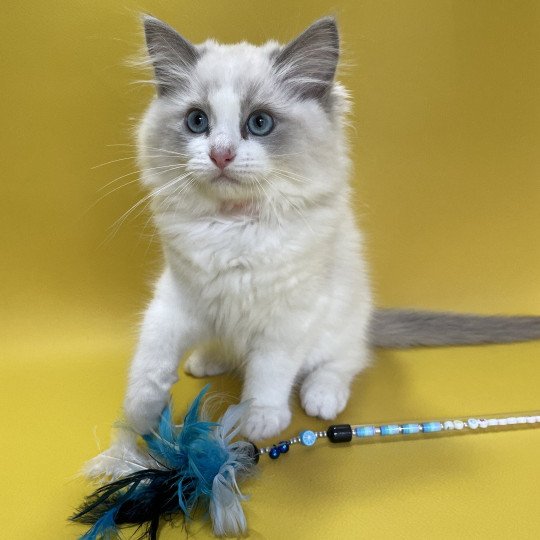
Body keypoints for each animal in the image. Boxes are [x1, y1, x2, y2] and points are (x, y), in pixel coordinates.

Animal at [84, 14, 540, 476]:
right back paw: (208, 358)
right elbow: (150, 358)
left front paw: (259, 418)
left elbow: (270, 370)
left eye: (260, 123)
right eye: (197, 122)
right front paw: (140, 415)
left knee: (345, 361)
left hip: (341, 321)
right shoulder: (177, 296)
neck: (232, 226)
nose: (221, 155)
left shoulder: (290, 313)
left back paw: (322, 397)